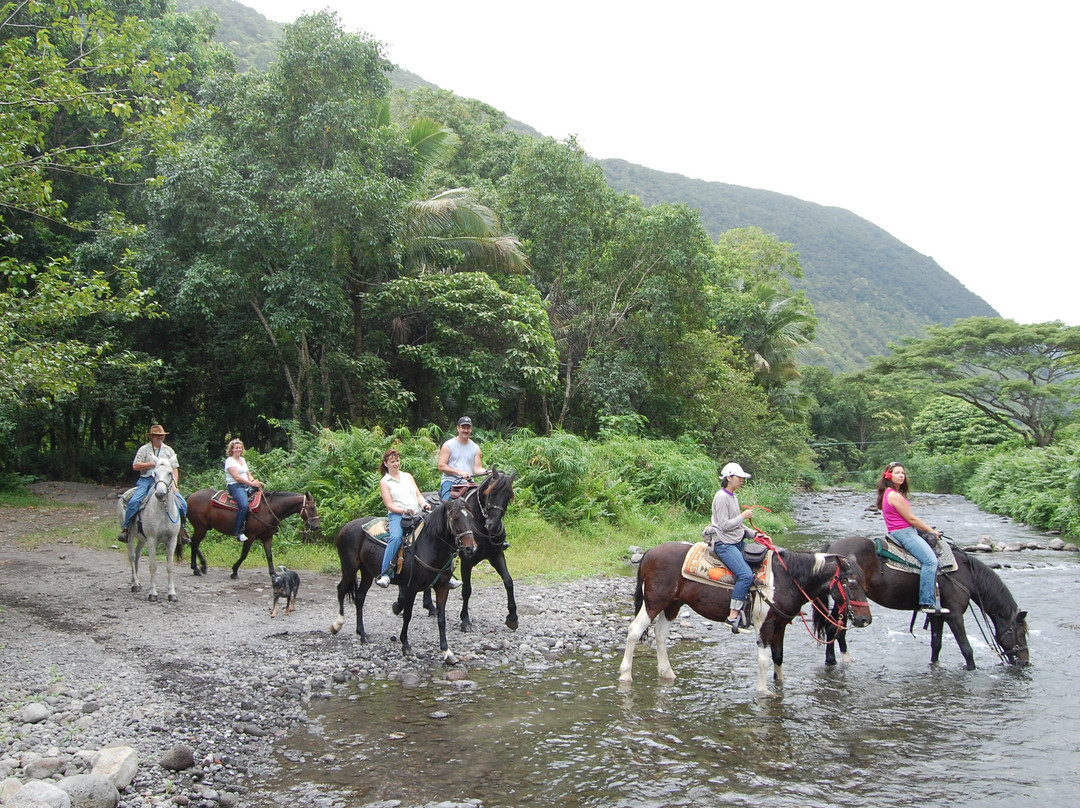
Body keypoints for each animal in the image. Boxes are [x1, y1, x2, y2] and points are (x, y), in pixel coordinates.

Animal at [118, 458, 181, 604]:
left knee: (137, 555)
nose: (160, 494)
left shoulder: (172, 540)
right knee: (132, 556)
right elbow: (153, 566)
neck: (164, 510)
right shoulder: (152, 540)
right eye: (155, 473)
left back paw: (137, 582)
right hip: (131, 537)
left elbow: (170, 567)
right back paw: (135, 584)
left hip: (142, 539)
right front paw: (153, 593)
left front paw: (172, 593)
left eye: (170, 473)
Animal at [183, 486, 317, 578]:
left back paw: (202, 566)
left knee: (193, 543)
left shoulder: (267, 537)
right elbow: (244, 554)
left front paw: (273, 573)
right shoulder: (250, 536)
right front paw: (234, 571)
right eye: (311, 507)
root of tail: (190, 496)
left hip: (203, 527)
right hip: (200, 527)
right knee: (194, 543)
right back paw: (197, 569)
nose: (316, 526)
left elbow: (269, 555)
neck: (268, 510)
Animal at [330, 499, 479, 661]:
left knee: (359, 598)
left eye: (471, 517)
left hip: (367, 572)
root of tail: (345, 527)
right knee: (341, 590)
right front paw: (406, 645)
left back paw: (362, 634)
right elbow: (407, 615)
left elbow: (441, 619)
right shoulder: (411, 588)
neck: (428, 547)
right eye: (456, 518)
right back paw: (337, 625)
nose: (471, 548)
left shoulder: (442, 588)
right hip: (349, 568)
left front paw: (447, 651)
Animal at [622, 542, 872, 695]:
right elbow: (763, 659)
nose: (865, 620)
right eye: (851, 583)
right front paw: (763, 692)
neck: (787, 579)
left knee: (661, 634)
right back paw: (625, 676)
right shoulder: (764, 625)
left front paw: (780, 686)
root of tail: (649, 553)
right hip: (655, 602)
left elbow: (778, 657)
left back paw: (667, 673)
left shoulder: (780, 625)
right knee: (635, 631)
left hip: (672, 605)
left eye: (864, 583)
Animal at [812, 535, 1032, 669]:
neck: (966, 576)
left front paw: (935, 666)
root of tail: (832, 548)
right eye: (1020, 633)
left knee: (835, 629)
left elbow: (936, 644)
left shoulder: (938, 615)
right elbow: (966, 649)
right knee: (833, 629)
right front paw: (971, 669)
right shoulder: (955, 615)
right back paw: (835, 660)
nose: (1025, 661)